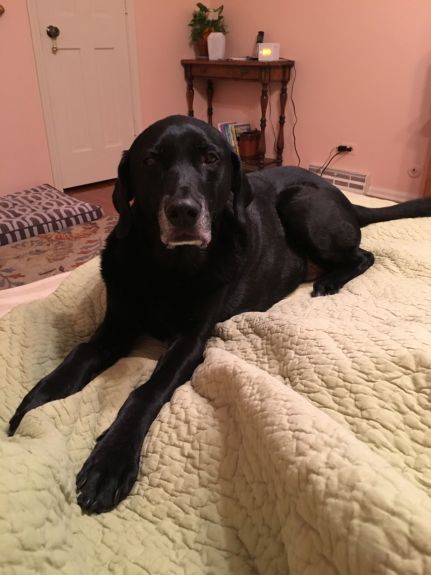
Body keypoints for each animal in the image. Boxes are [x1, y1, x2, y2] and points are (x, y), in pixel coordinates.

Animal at [9, 115, 431, 510]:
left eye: (210, 159)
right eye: (151, 161)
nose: (183, 212)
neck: (166, 268)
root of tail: (340, 194)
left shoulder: (190, 341)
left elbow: (145, 392)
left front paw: (110, 461)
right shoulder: (116, 325)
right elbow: (76, 358)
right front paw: (30, 409)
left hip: (300, 204)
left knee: (365, 255)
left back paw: (329, 281)